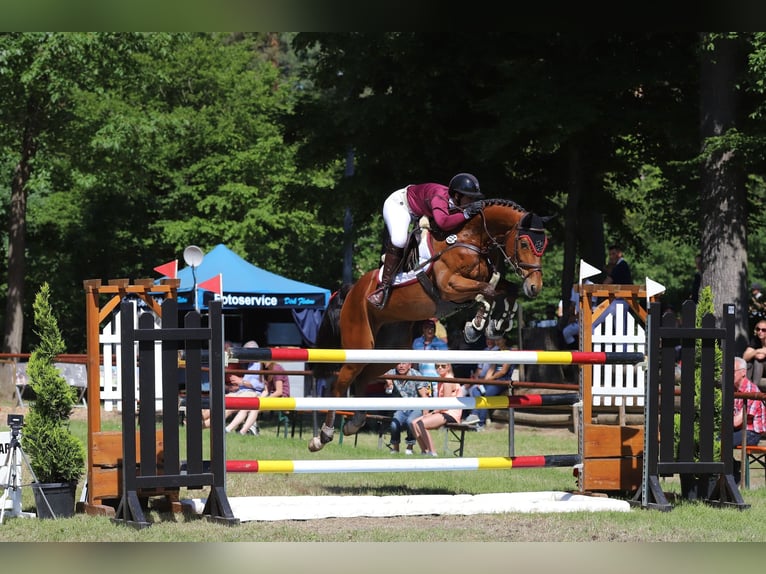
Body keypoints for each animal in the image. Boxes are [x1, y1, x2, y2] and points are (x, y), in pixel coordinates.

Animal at [308, 198, 552, 454]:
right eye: (524, 243)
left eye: (544, 245)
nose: (535, 287)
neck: (472, 239)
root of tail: (351, 291)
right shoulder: (450, 286)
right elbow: (488, 291)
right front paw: (476, 326)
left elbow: (505, 289)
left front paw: (496, 324)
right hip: (360, 343)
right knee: (340, 384)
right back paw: (322, 436)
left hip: (389, 352)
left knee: (363, 379)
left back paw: (354, 423)